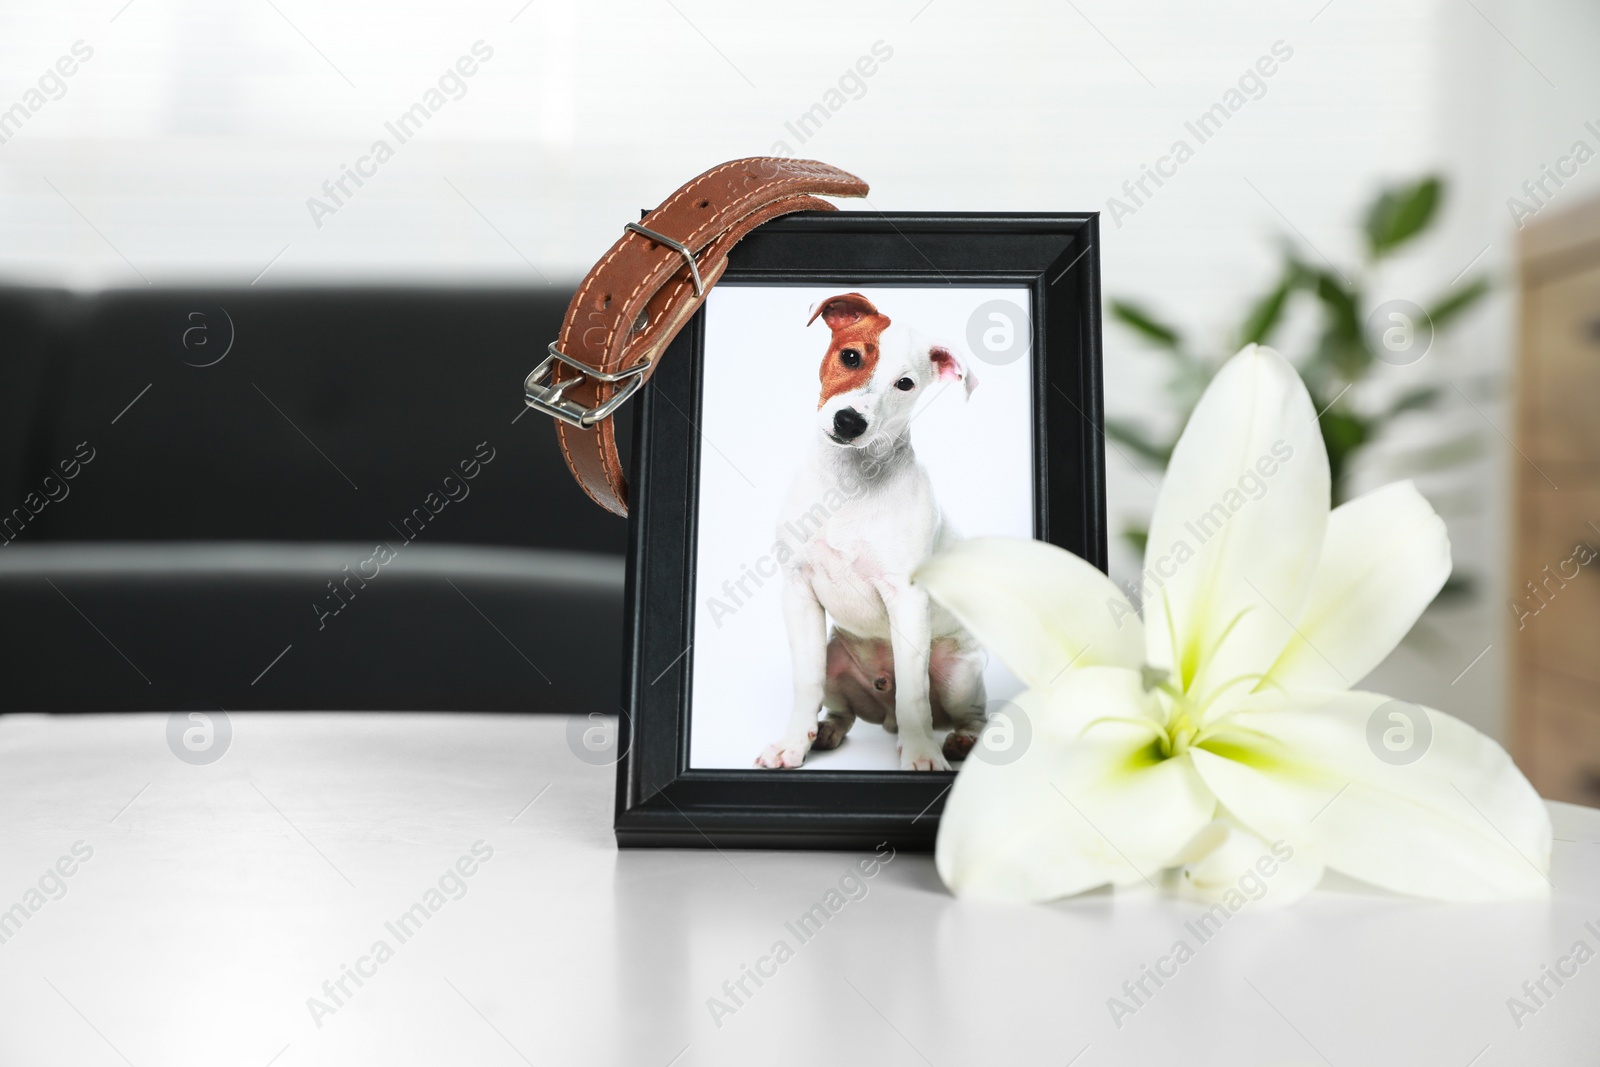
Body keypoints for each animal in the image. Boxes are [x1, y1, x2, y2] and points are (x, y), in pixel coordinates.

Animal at [752, 292, 985, 771]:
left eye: (905, 384)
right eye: (851, 356)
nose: (849, 421)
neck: (848, 485)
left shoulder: (907, 600)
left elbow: (914, 693)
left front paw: (922, 756)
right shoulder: (798, 592)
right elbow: (805, 683)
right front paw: (792, 745)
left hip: (959, 674)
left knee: (970, 714)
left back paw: (959, 741)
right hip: (836, 660)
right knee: (841, 709)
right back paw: (824, 732)